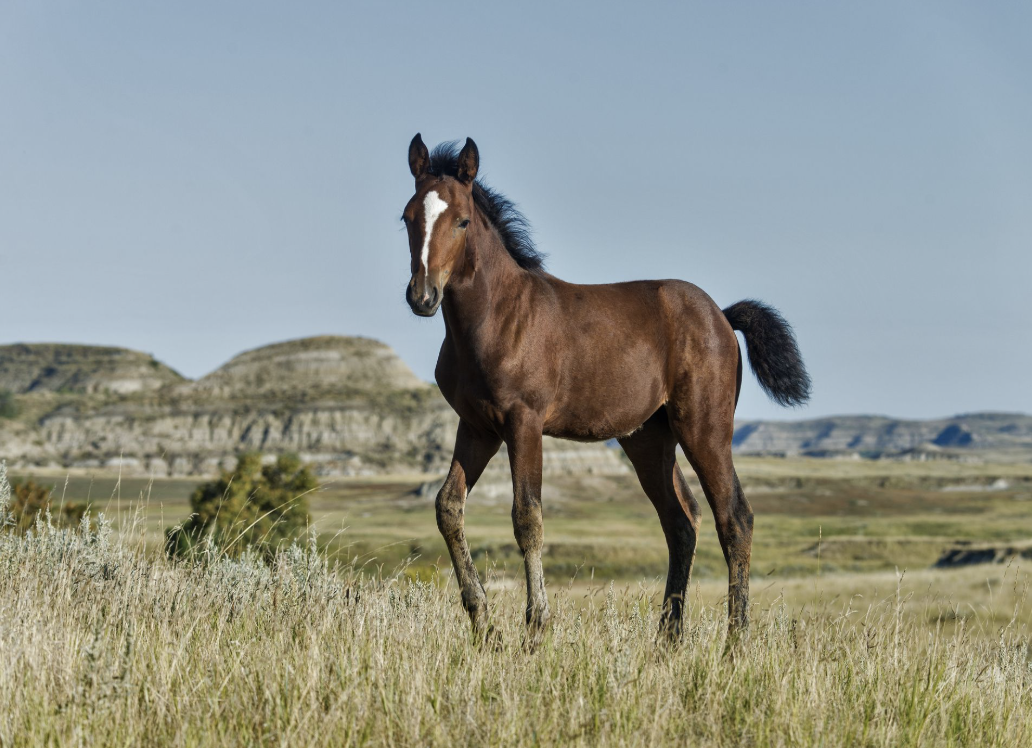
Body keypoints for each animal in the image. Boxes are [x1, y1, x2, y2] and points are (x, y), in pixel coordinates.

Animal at [398, 133, 809, 643]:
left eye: (462, 220)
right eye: (408, 217)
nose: (422, 296)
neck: (496, 318)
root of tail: (721, 314)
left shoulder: (523, 423)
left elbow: (527, 516)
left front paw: (536, 627)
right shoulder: (477, 427)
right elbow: (448, 507)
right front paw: (483, 623)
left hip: (704, 428)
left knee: (734, 518)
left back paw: (735, 642)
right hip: (649, 439)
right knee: (682, 522)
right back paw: (667, 639)